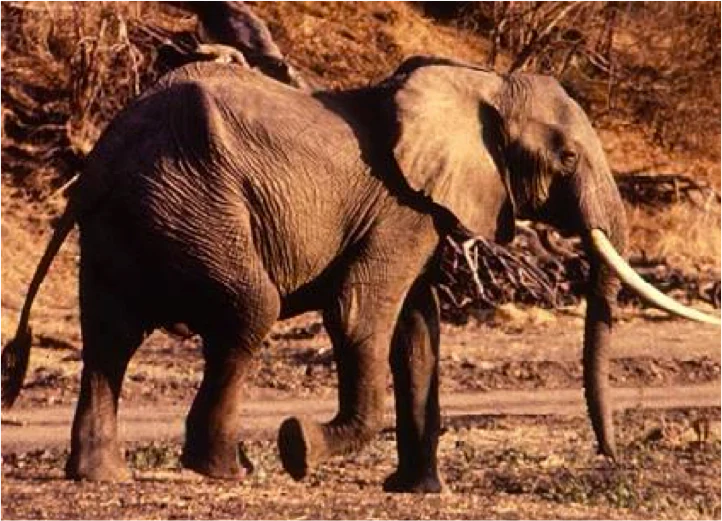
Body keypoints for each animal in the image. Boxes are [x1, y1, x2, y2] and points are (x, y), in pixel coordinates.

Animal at [1, 55, 719, 493]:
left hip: (131, 220)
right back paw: (229, 470)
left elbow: (418, 331)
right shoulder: (400, 209)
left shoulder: (422, 212)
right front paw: (300, 448)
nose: (611, 456)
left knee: (108, 339)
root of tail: (102, 156)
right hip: (192, 202)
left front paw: (417, 489)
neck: (478, 82)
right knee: (247, 311)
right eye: (566, 156)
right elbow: (360, 317)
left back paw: (101, 476)